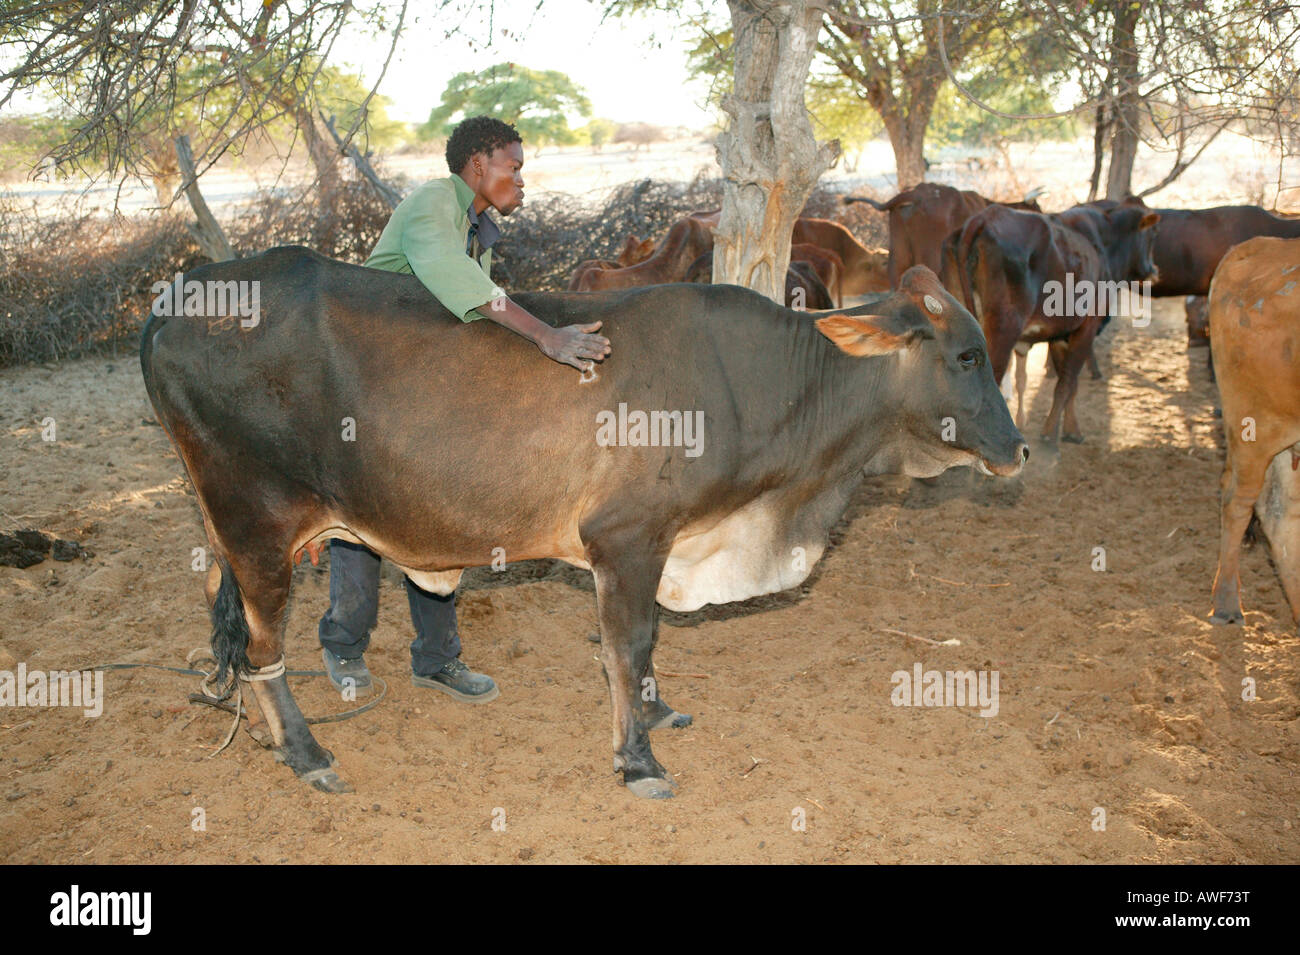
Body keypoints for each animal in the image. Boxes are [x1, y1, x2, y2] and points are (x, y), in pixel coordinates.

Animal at [956, 203, 1159, 441]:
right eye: (1152, 235)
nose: (1154, 270)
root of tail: (985, 217)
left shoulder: (1059, 335)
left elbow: (1070, 384)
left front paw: (1069, 427)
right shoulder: (1087, 327)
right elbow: (1067, 382)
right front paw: (1052, 432)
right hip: (1002, 332)